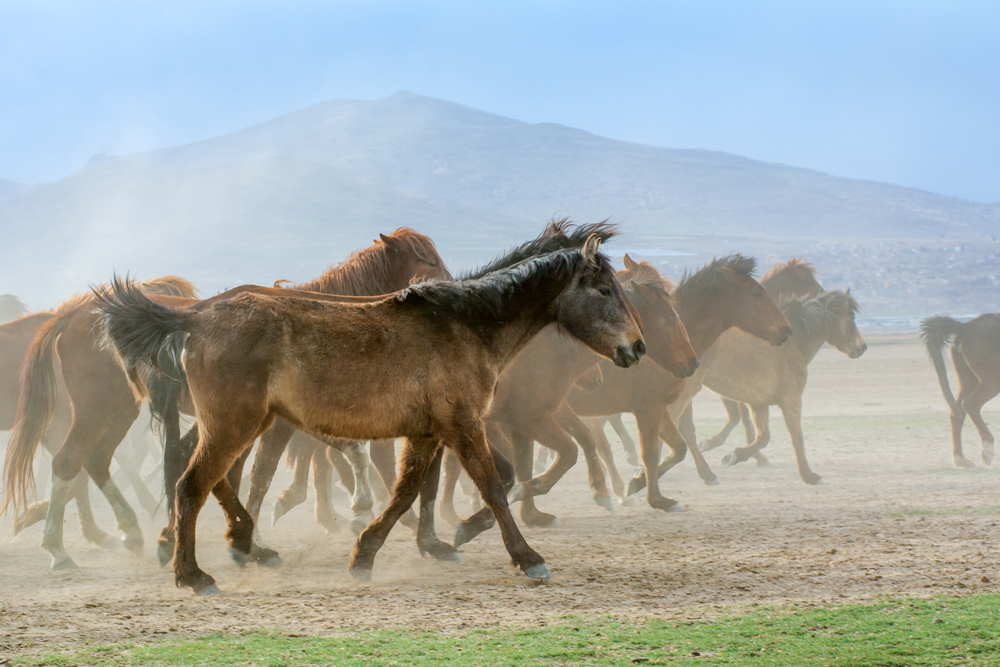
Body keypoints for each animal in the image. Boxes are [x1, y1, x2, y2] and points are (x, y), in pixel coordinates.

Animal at [97, 235, 644, 596]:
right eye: (604, 290)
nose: (637, 348)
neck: (465, 323)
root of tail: (197, 317)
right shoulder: (464, 425)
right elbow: (490, 485)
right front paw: (528, 558)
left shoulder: (428, 433)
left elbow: (408, 492)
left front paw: (367, 553)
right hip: (235, 425)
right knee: (192, 484)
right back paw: (194, 574)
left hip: (246, 423)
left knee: (211, 476)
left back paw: (244, 543)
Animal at [572, 254, 788, 512]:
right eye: (756, 294)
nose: (786, 329)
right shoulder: (649, 407)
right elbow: (656, 449)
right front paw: (644, 486)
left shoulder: (662, 406)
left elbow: (680, 445)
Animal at [696, 290, 868, 482]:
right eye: (851, 317)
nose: (863, 347)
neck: (791, 342)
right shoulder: (791, 400)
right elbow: (796, 436)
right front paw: (809, 475)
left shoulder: (758, 402)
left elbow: (762, 437)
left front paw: (734, 455)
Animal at [920, 314, 1000, 468]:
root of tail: (965, 327)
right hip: (992, 381)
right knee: (970, 404)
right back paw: (987, 450)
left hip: (968, 381)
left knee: (957, 411)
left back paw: (961, 459)